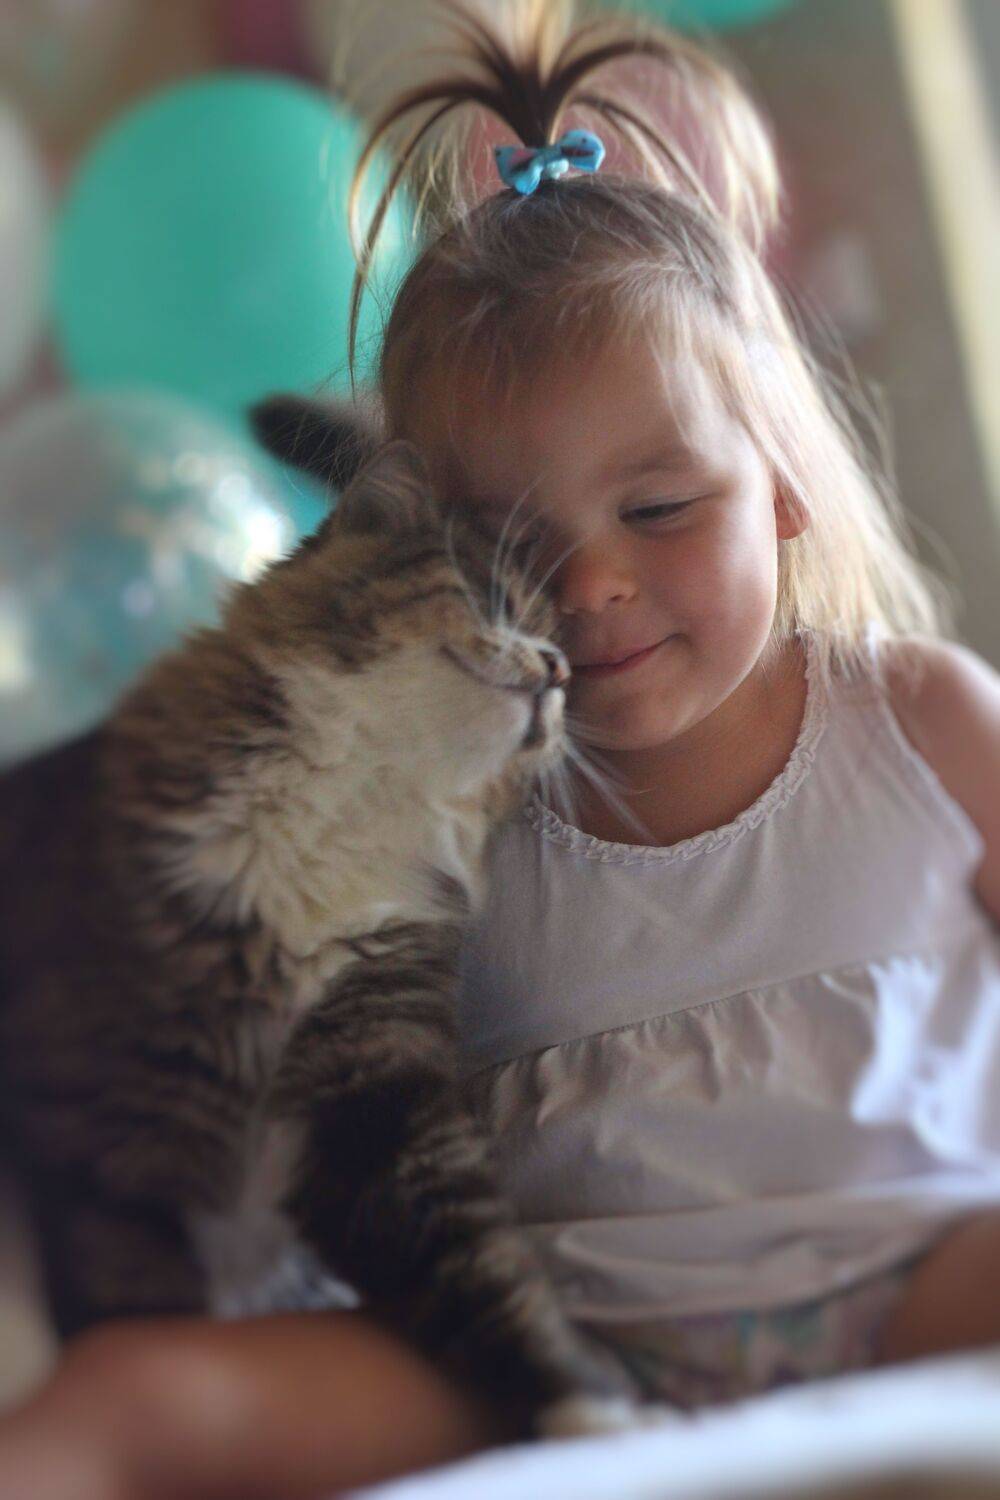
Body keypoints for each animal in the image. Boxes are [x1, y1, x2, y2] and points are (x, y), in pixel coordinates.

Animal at [0, 396, 653, 1439]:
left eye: (574, 660)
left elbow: (486, 1268)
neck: (349, 809)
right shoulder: (117, 1142)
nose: (555, 670)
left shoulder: (373, 1091)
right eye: (492, 599)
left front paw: (588, 1415)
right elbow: (144, 1305)